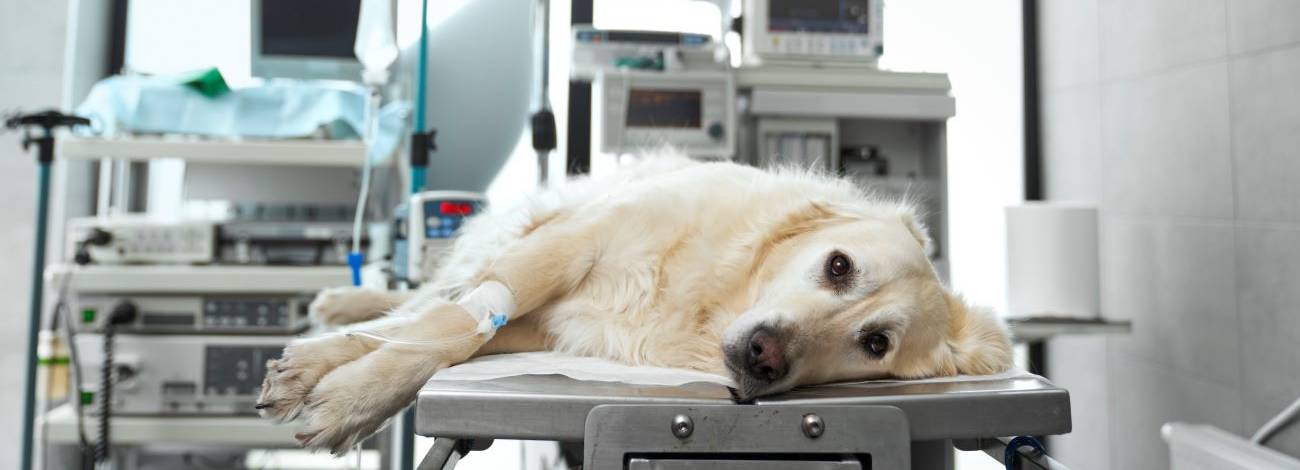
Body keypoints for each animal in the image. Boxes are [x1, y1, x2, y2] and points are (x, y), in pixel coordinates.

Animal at [256, 155, 1013, 454]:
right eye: (838, 266)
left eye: (876, 344)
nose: (764, 358)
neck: (705, 303)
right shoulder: (566, 247)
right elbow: (447, 330)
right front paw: (353, 399)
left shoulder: (546, 325)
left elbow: (443, 335)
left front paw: (346, 388)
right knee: (428, 297)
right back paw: (333, 315)